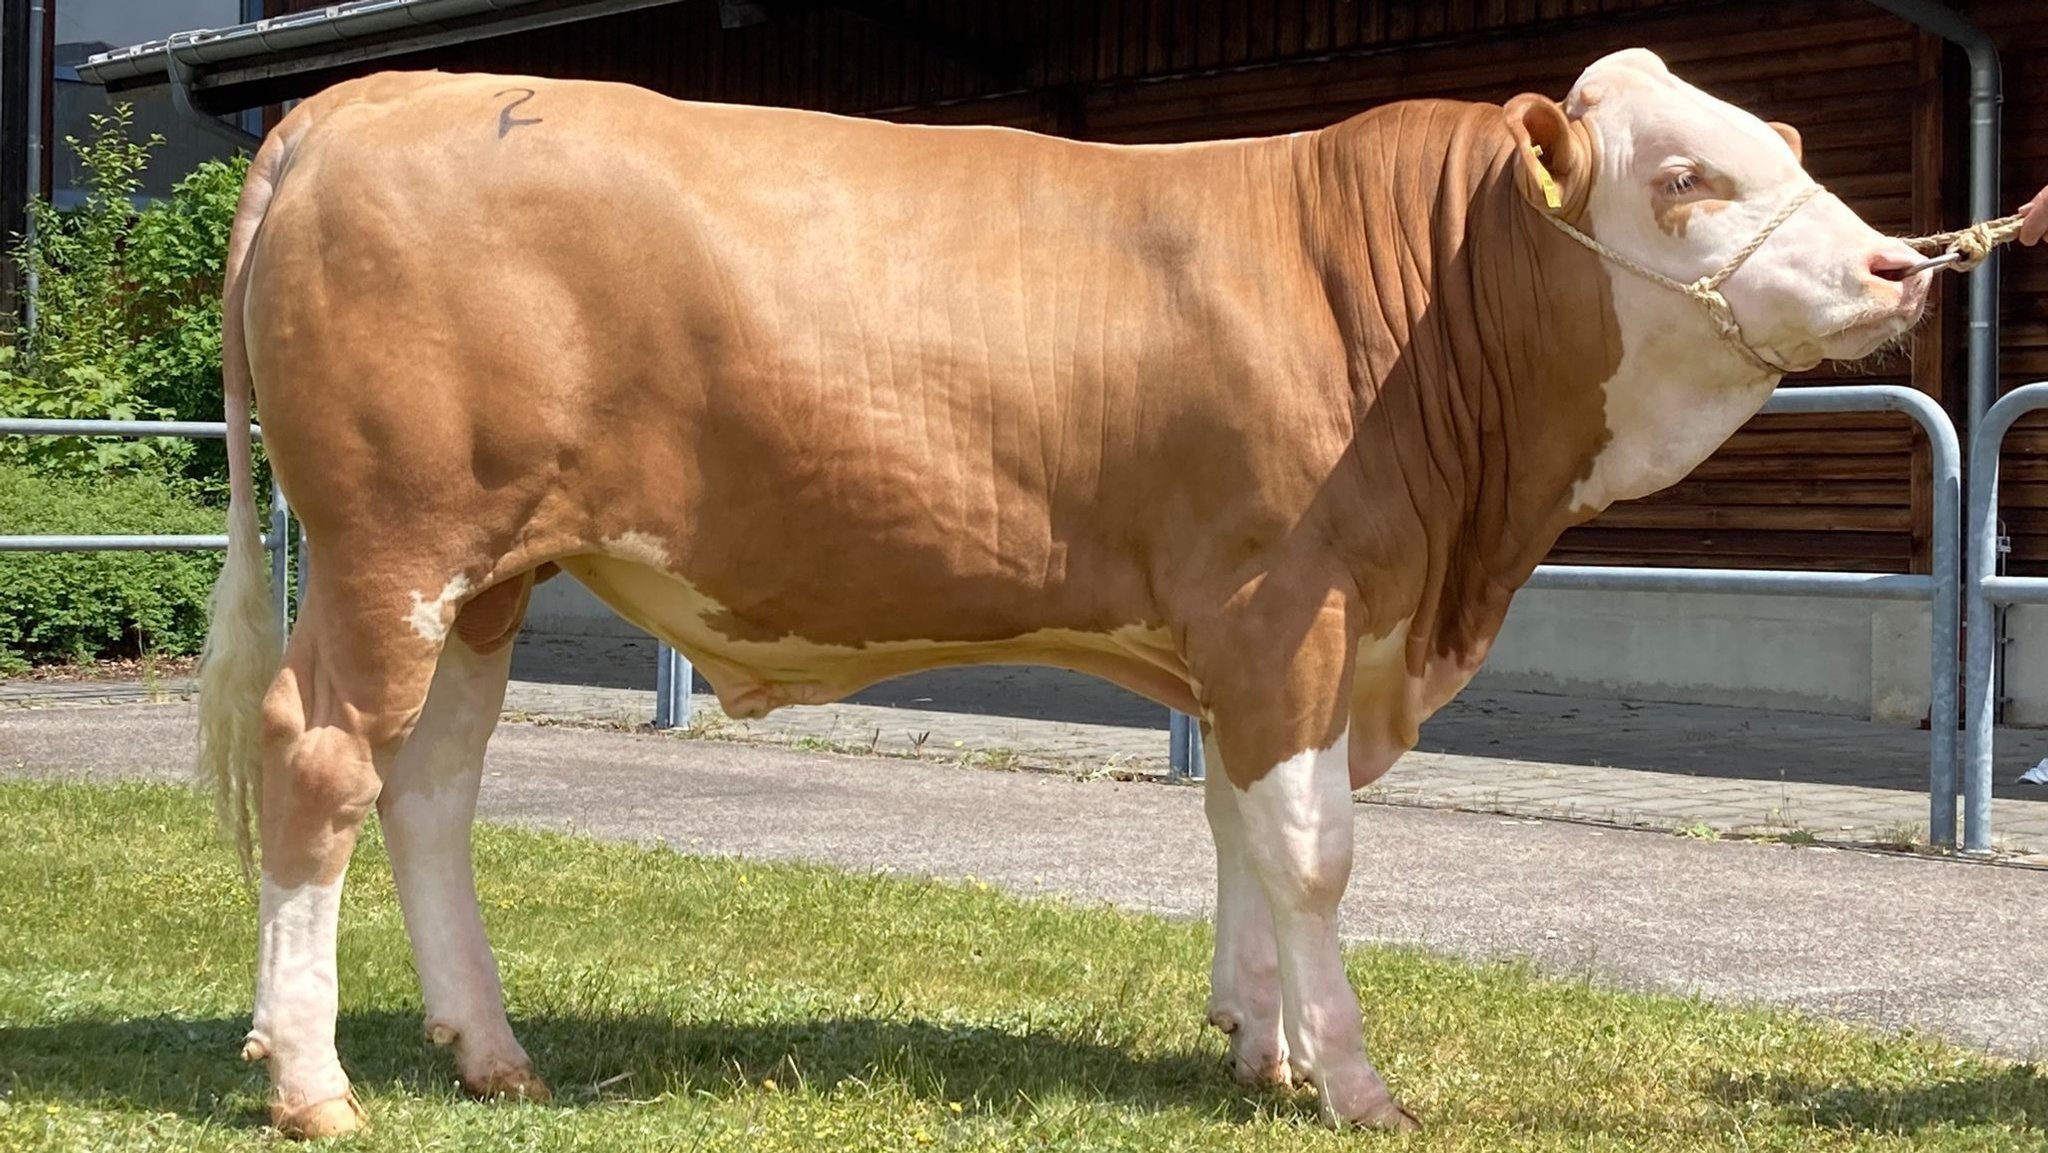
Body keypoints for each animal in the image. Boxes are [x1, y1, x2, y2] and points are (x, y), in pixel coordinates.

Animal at [199, 47, 1925, 1138]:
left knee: (432, 791)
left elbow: (1239, 828)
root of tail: (363, 101)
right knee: (324, 766)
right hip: (393, 548)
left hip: (491, 573)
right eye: (1690, 176)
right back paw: (312, 1083)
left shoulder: (1261, 638)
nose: (1905, 266)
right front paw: (1354, 1083)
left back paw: (490, 1054)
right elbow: (1311, 852)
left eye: (1796, 147)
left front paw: (1260, 1049)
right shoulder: (1286, 604)